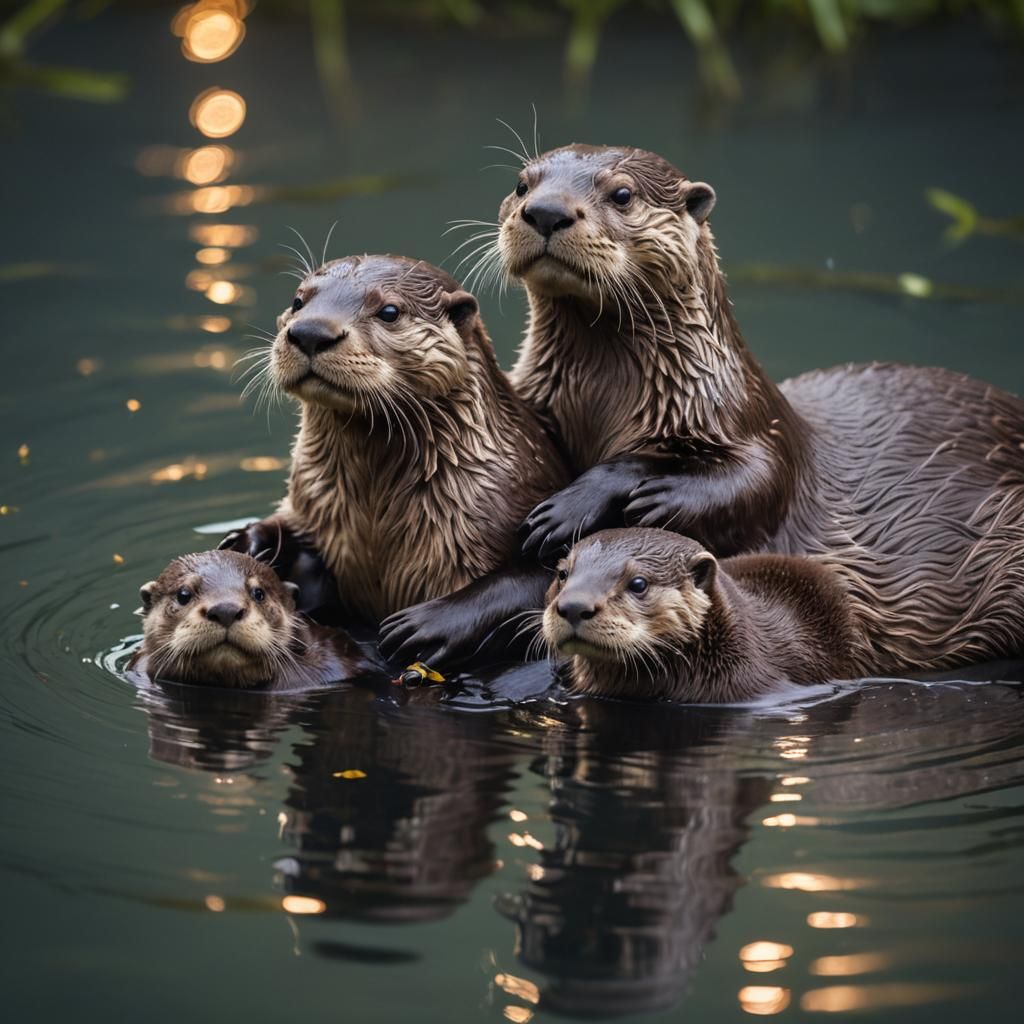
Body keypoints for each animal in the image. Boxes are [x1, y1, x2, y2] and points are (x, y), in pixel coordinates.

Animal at [221, 255, 568, 665]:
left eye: (389, 311)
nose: (309, 332)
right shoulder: (310, 503)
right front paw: (247, 543)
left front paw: (428, 624)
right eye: (298, 301)